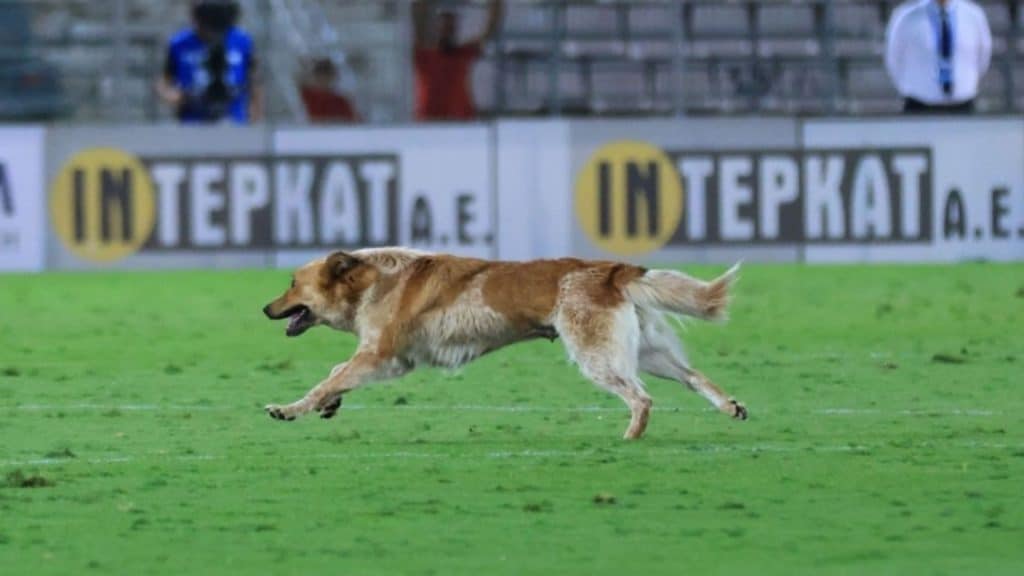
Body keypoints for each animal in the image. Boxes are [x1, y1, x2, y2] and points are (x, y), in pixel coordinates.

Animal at [264, 248, 745, 438]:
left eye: (292, 283)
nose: (265, 308)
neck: (374, 280)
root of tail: (613, 270)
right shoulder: (388, 358)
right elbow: (334, 377)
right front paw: (329, 405)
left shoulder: (381, 354)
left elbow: (326, 380)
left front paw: (289, 409)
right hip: (646, 352)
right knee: (694, 377)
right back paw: (730, 407)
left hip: (598, 356)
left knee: (641, 399)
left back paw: (629, 437)